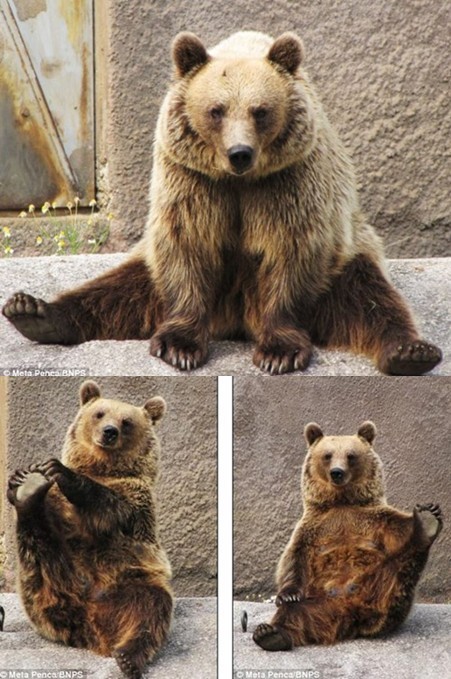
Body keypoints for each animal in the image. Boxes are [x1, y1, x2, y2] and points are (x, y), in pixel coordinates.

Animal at [2, 30, 442, 376]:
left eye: (260, 111)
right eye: (216, 110)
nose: (240, 153)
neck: (239, 182)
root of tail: (235, 317)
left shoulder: (288, 182)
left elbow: (290, 252)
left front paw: (279, 352)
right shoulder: (194, 182)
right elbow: (187, 246)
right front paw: (179, 346)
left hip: (349, 258)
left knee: (372, 301)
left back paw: (410, 351)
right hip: (148, 268)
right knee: (116, 291)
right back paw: (33, 311)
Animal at [7, 380, 172, 679]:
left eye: (127, 421)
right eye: (99, 413)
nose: (109, 432)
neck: (102, 467)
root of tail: (89, 622)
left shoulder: (136, 502)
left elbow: (112, 509)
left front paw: (60, 471)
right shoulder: (58, 505)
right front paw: (22, 477)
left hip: (132, 580)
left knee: (150, 610)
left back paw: (128, 657)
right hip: (41, 588)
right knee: (37, 547)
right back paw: (28, 493)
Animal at [253, 421, 443, 651]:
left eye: (351, 455)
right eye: (327, 455)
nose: (337, 472)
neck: (342, 501)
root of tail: (349, 613)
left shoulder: (374, 519)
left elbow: (398, 527)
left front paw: (427, 514)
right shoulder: (313, 528)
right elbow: (294, 558)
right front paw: (288, 594)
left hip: (382, 585)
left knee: (401, 568)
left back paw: (426, 525)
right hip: (318, 601)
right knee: (295, 613)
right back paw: (270, 633)